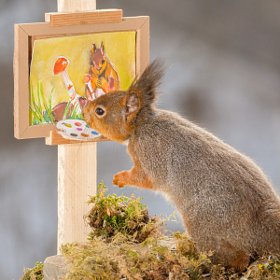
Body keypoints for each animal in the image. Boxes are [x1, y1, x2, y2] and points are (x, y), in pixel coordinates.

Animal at [82, 59, 280, 272]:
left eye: (100, 111)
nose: (84, 110)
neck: (143, 124)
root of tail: (258, 225)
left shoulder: (151, 153)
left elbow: (145, 179)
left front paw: (120, 178)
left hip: (202, 223)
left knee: (237, 258)